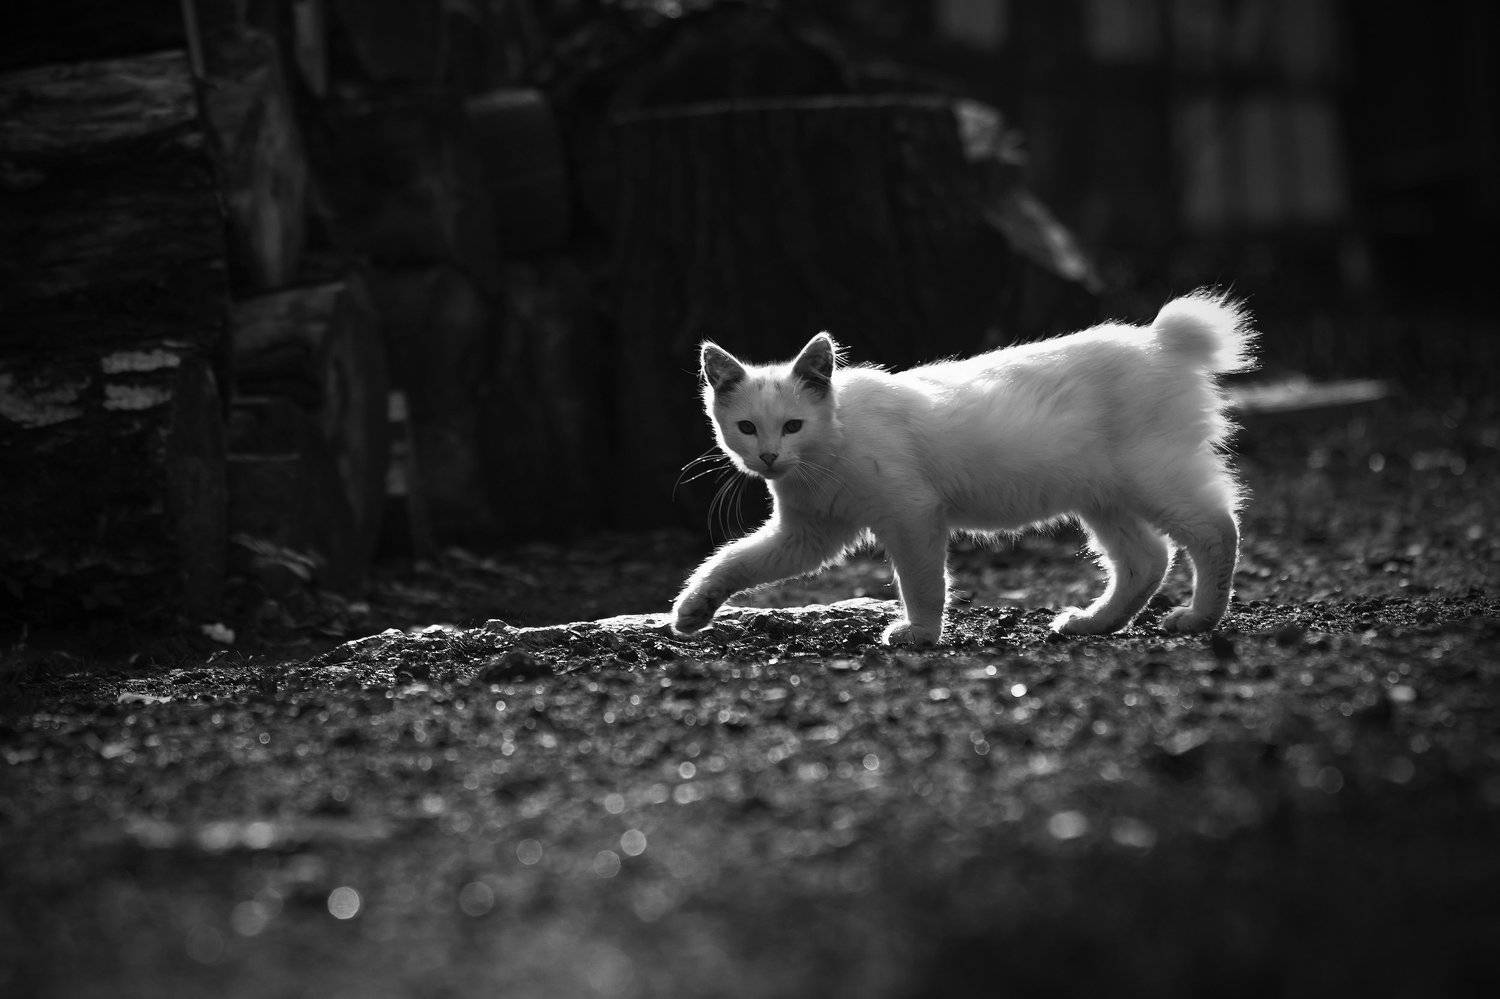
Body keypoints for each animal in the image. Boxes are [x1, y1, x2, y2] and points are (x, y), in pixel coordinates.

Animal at [670, 290, 1257, 646]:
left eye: (793, 426)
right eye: (747, 428)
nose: (769, 456)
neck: (830, 447)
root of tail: (1158, 339)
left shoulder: (911, 516)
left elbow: (923, 583)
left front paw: (921, 634)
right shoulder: (807, 536)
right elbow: (732, 561)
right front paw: (693, 611)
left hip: (1150, 478)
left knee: (1217, 530)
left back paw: (1200, 618)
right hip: (1103, 496)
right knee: (1147, 559)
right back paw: (1095, 623)